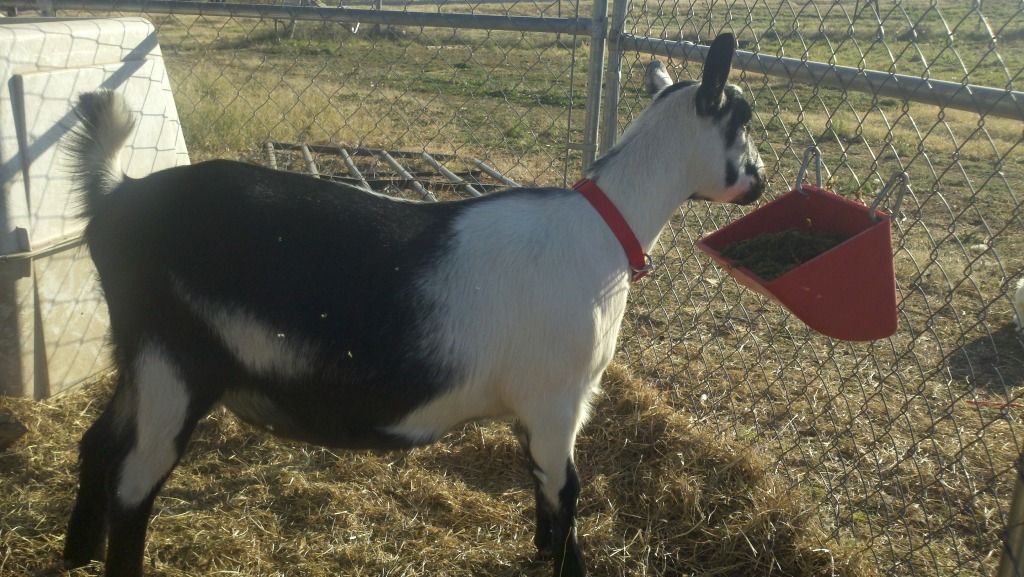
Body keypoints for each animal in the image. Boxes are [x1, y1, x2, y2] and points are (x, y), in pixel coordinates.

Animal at [62, 33, 764, 577]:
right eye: (744, 121)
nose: (758, 180)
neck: (606, 226)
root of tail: (119, 195)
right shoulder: (558, 398)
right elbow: (566, 491)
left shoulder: (533, 409)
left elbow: (539, 484)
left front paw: (540, 551)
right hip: (173, 362)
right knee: (135, 480)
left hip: (139, 358)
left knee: (98, 442)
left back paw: (76, 553)